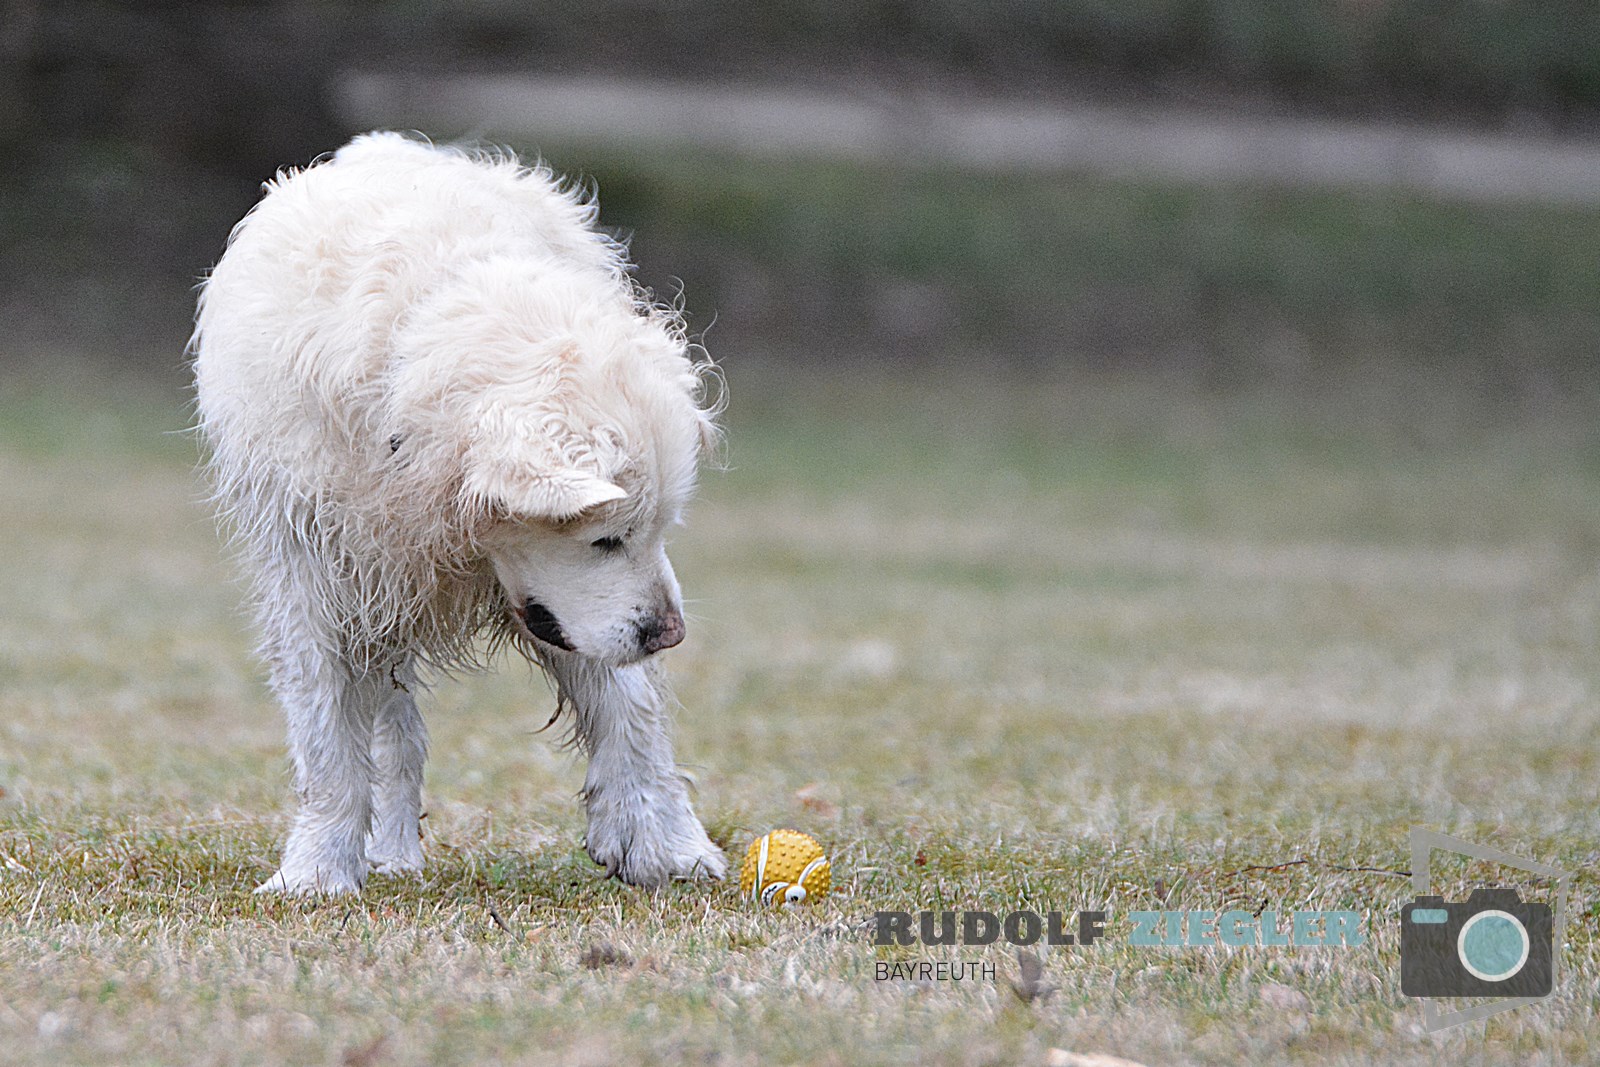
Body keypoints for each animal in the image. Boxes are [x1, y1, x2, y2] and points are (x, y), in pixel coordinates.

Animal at [188, 135, 732, 902]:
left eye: (658, 531)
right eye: (606, 538)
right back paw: (387, 847)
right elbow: (328, 742)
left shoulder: (560, 604)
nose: (670, 635)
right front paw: (318, 868)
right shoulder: (313, 576)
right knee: (395, 731)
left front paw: (663, 844)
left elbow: (631, 711)